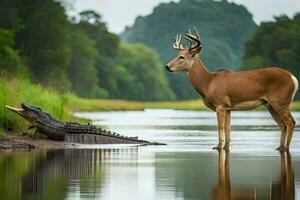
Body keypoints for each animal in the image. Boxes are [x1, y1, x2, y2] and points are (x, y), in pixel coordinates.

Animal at [165, 27, 298, 151]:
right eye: (177, 55)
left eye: (181, 57)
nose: (167, 66)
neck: (208, 83)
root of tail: (293, 78)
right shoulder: (228, 107)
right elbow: (228, 128)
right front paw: (226, 146)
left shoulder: (220, 104)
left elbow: (220, 127)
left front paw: (217, 146)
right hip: (270, 104)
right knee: (282, 124)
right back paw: (279, 147)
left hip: (280, 101)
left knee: (290, 122)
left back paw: (286, 147)